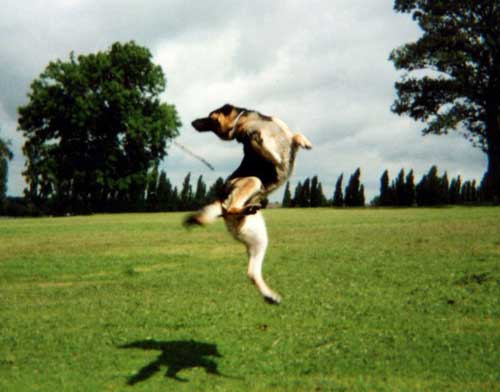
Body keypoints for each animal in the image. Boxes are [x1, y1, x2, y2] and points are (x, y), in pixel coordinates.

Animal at [186, 103, 310, 304]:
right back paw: (248, 207)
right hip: (253, 180)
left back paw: (270, 296)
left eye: (210, 117)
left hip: (258, 239)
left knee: (252, 273)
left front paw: (304, 141)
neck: (247, 123)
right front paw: (260, 141)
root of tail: (220, 199)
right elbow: (264, 147)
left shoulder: (288, 140)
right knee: (232, 207)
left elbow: (295, 135)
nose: (193, 122)